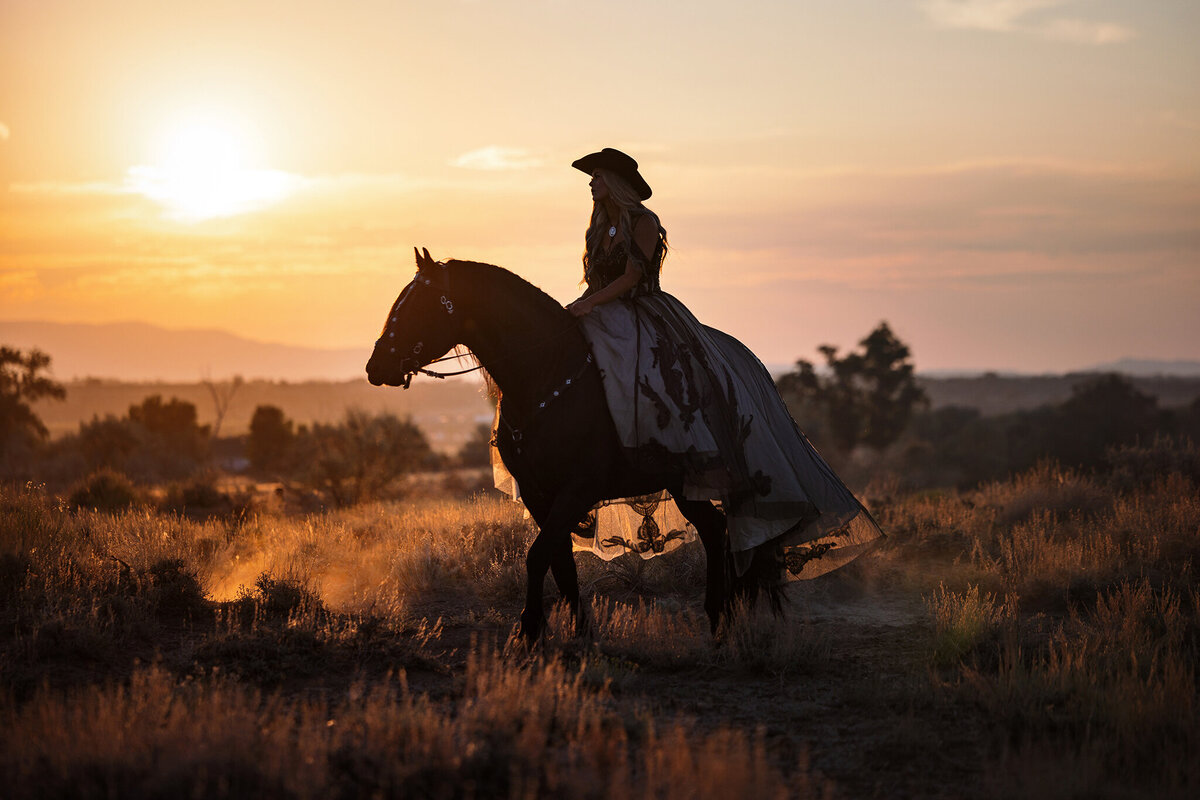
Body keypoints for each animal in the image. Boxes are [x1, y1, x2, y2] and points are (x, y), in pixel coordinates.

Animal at [366, 248, 777, 642]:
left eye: (418, 305)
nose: (374, 367)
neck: (547, 379)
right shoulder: (538, 493)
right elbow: (560, 560)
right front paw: (579, 633)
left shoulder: (578, 489)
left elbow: (537, 556)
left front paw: (530, 630)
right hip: (684, 484)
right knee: (715, 529)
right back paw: (721, 616)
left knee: (721, 530)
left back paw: (722, 618)